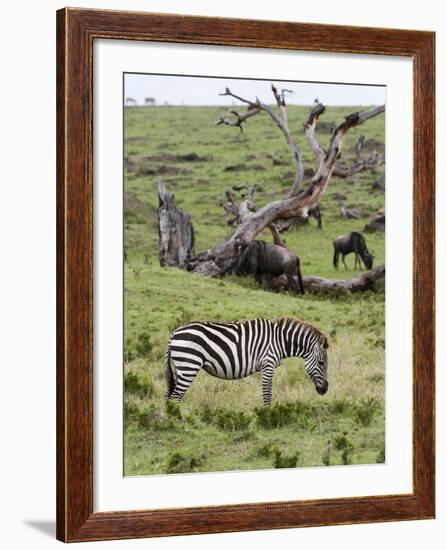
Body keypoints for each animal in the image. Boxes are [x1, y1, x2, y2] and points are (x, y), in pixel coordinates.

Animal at [164, 316, 328, 408]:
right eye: (321, 363)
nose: (325, 390)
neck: (280, 340)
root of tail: (174, 333)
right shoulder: (268, 364)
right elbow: (267, 392)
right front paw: (267, 413)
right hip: (189, 366)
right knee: (176, 396)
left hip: (180, 368)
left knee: (170, 396)